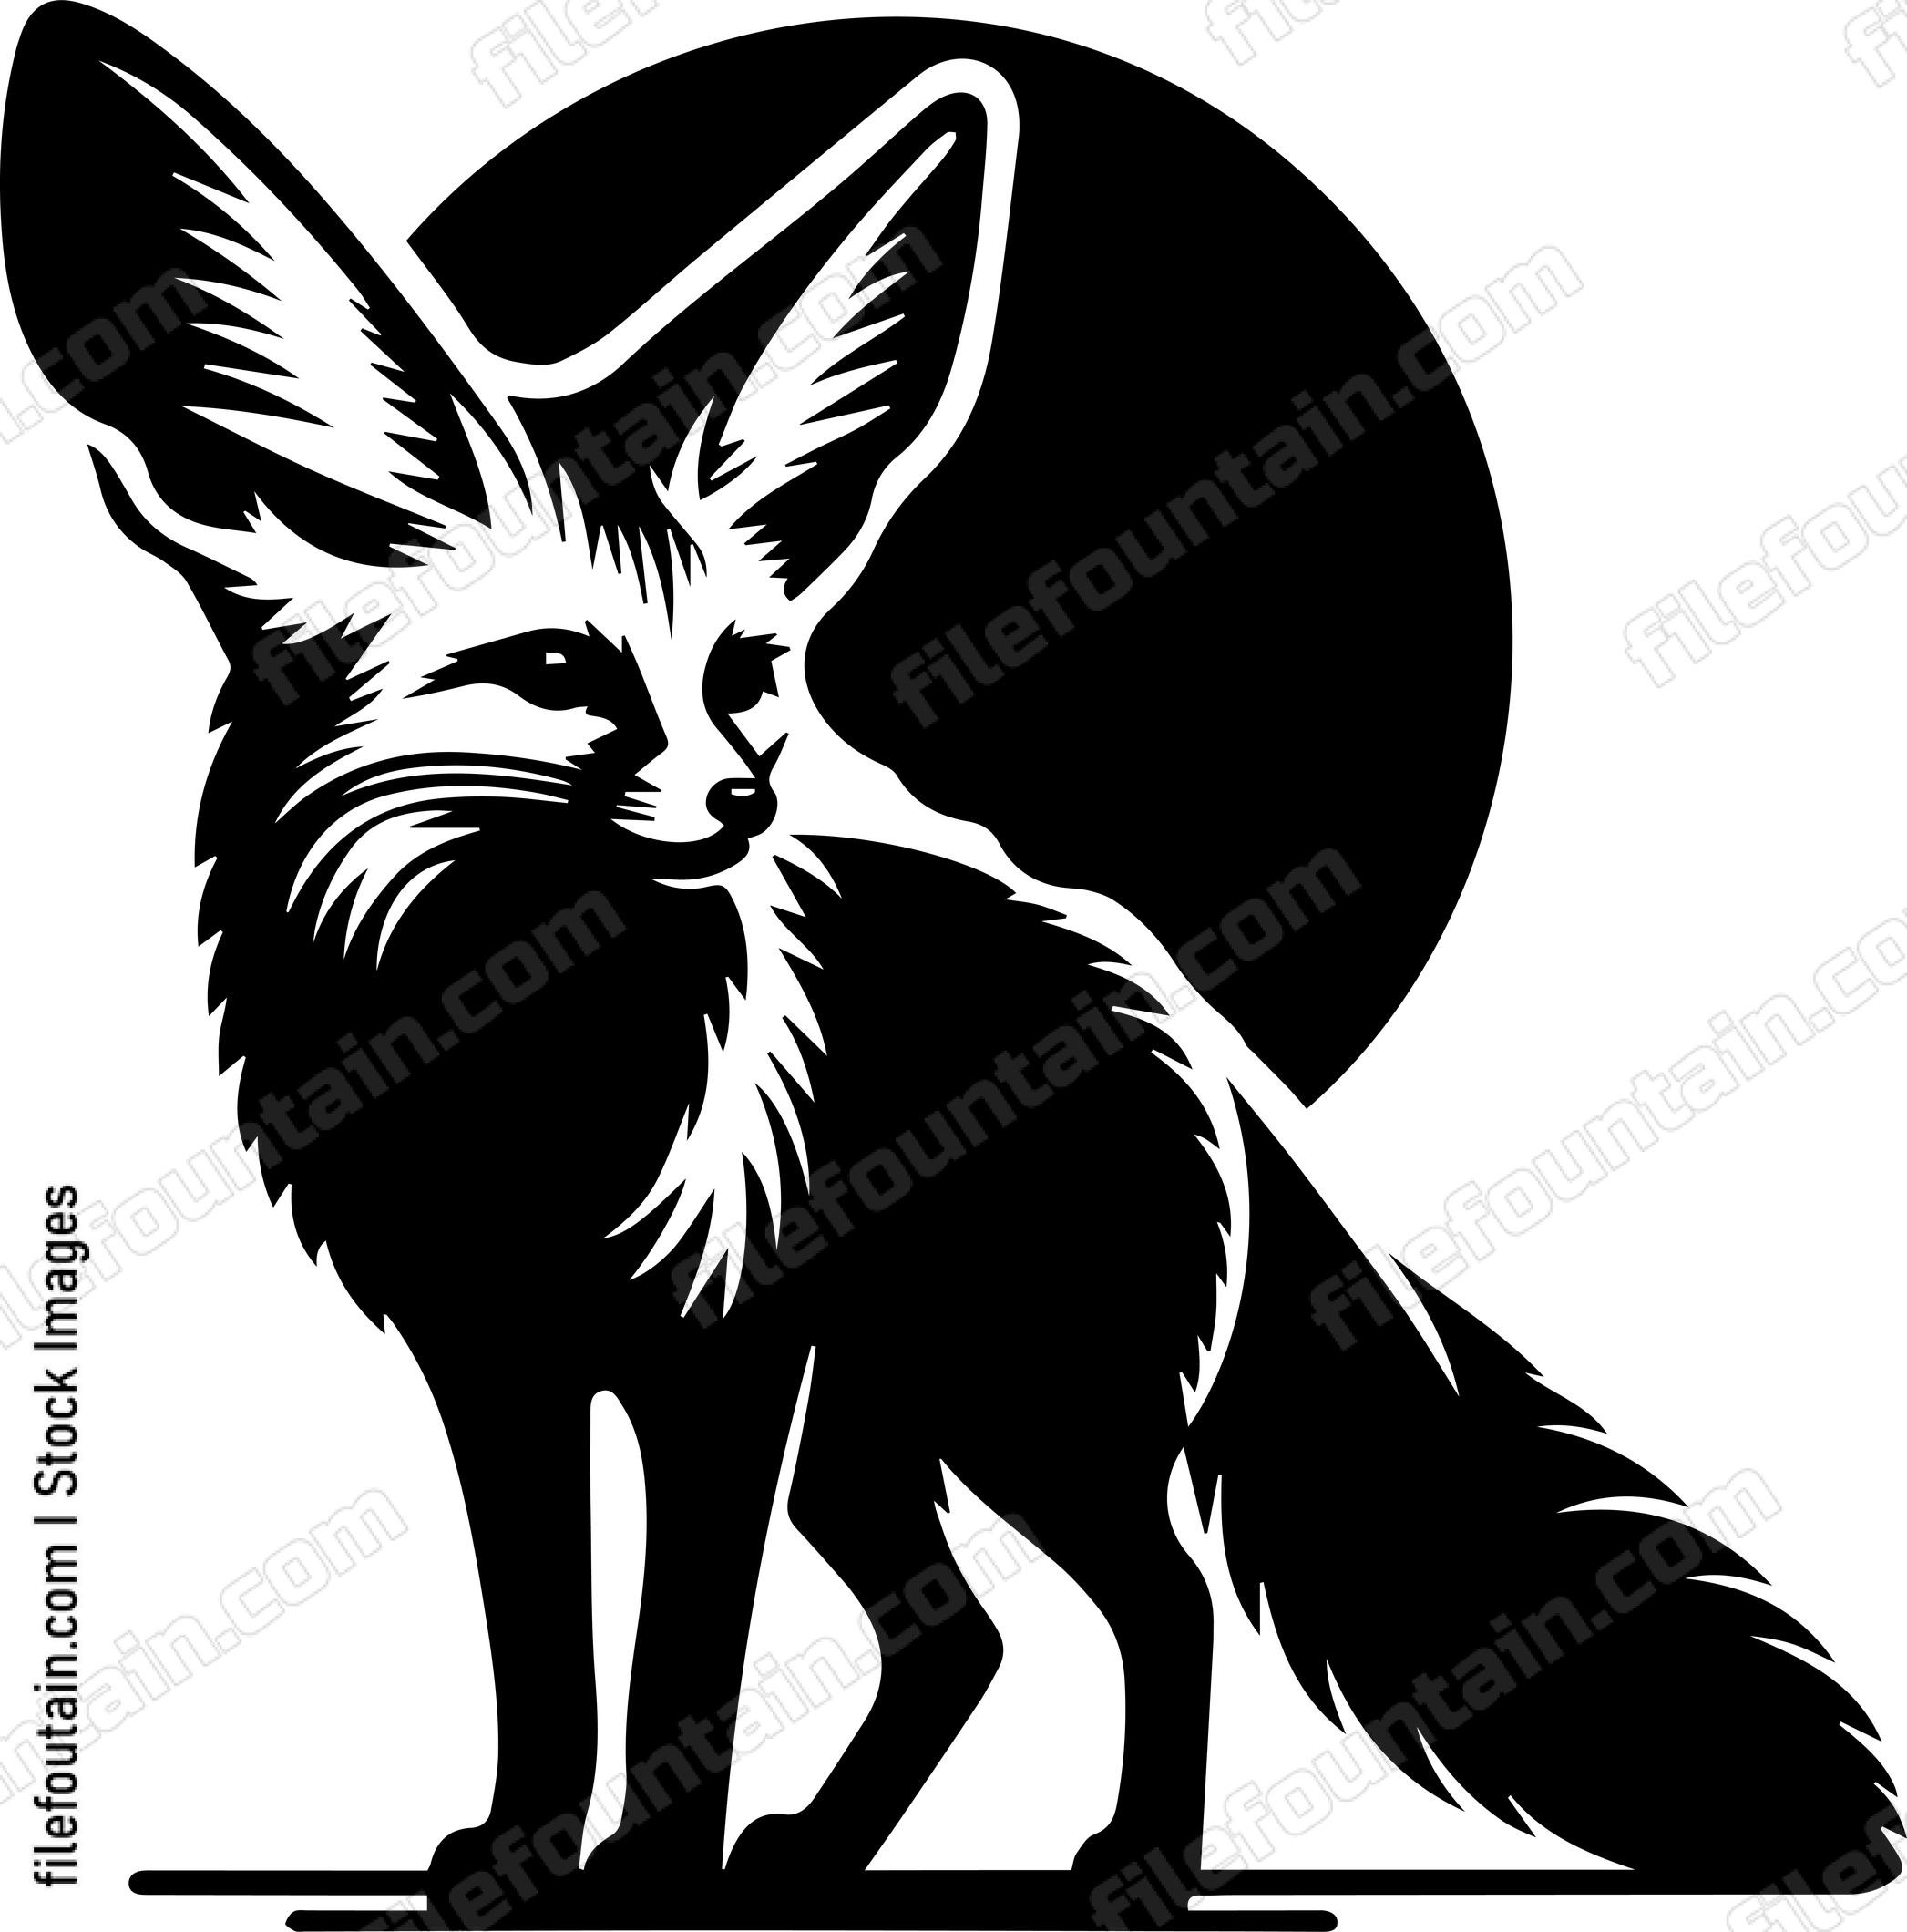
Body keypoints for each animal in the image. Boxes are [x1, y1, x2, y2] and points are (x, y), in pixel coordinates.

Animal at [2, 6, 1898, 1926]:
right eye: (554, 670)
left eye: (747, 673)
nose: (745, 801)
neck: (527, 1058)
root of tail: (1182, 1026)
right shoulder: (499, 1374)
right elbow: (544, 1667)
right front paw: (527, 1859)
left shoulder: (715, 1372)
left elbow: (678, 1668)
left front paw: (647, 1873)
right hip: (881, 1443)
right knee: (960, 1639)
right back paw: (821, 1854)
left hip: (1014, 1419)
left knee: (1157, 1600)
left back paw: (1132, 1866)